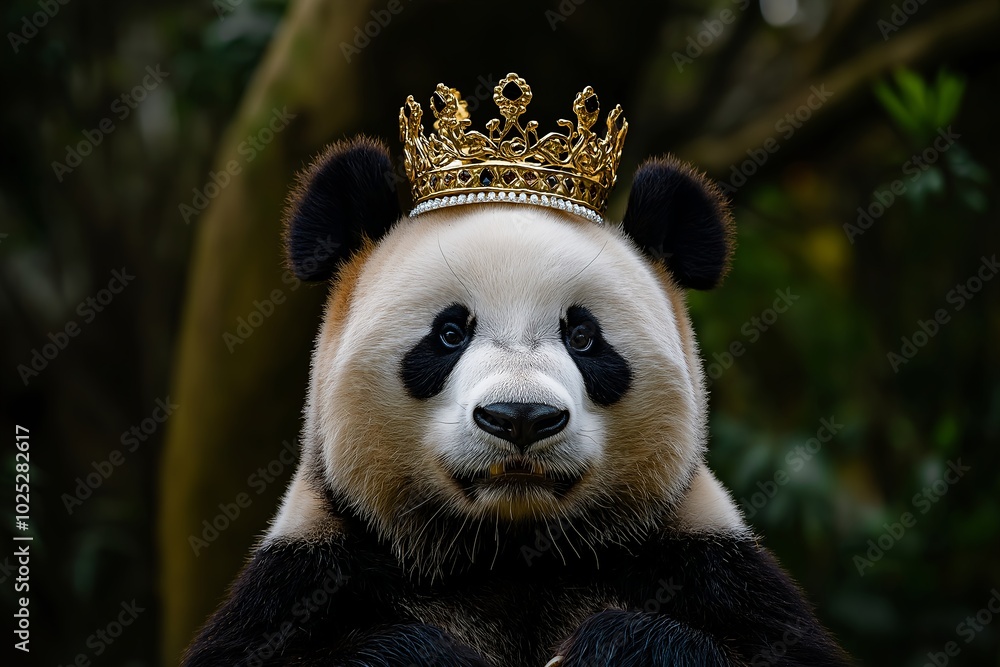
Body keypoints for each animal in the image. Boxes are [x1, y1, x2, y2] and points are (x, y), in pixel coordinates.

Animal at [184, 86, 849, 666]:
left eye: (583, 338)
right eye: (450, 334)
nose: (522, 418)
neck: (511, 551)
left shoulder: (706, 566)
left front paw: (617, 648)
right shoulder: (310, 577)